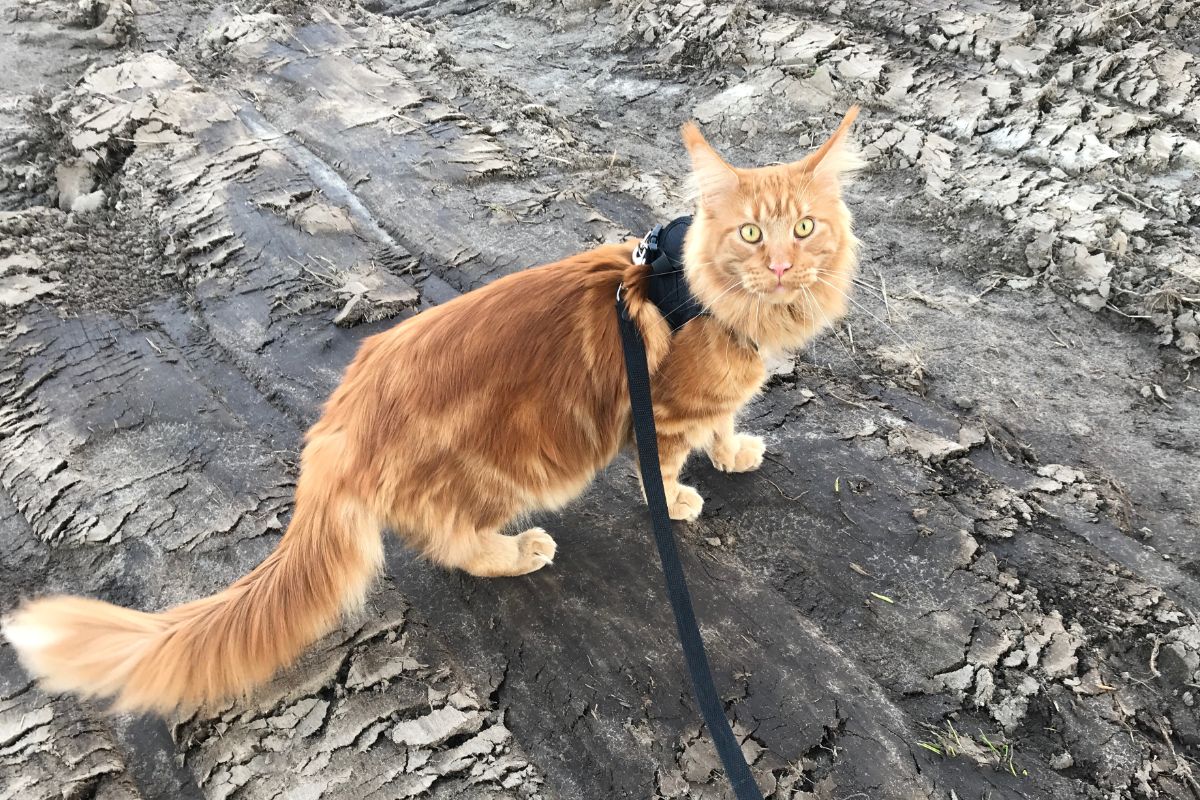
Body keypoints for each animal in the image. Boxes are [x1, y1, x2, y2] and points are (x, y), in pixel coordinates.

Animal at [0, 104, 864, 714]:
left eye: (804, 228)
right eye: (750, 235)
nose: (780, 264)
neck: (699, 294)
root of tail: (339, 422)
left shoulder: (715, 393)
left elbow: (727, 422)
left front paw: (736, 452)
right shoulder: (669, 411)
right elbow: (675, 458)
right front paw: (682, 497)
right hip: (509, 474)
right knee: (454, 544)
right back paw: (521, 551)